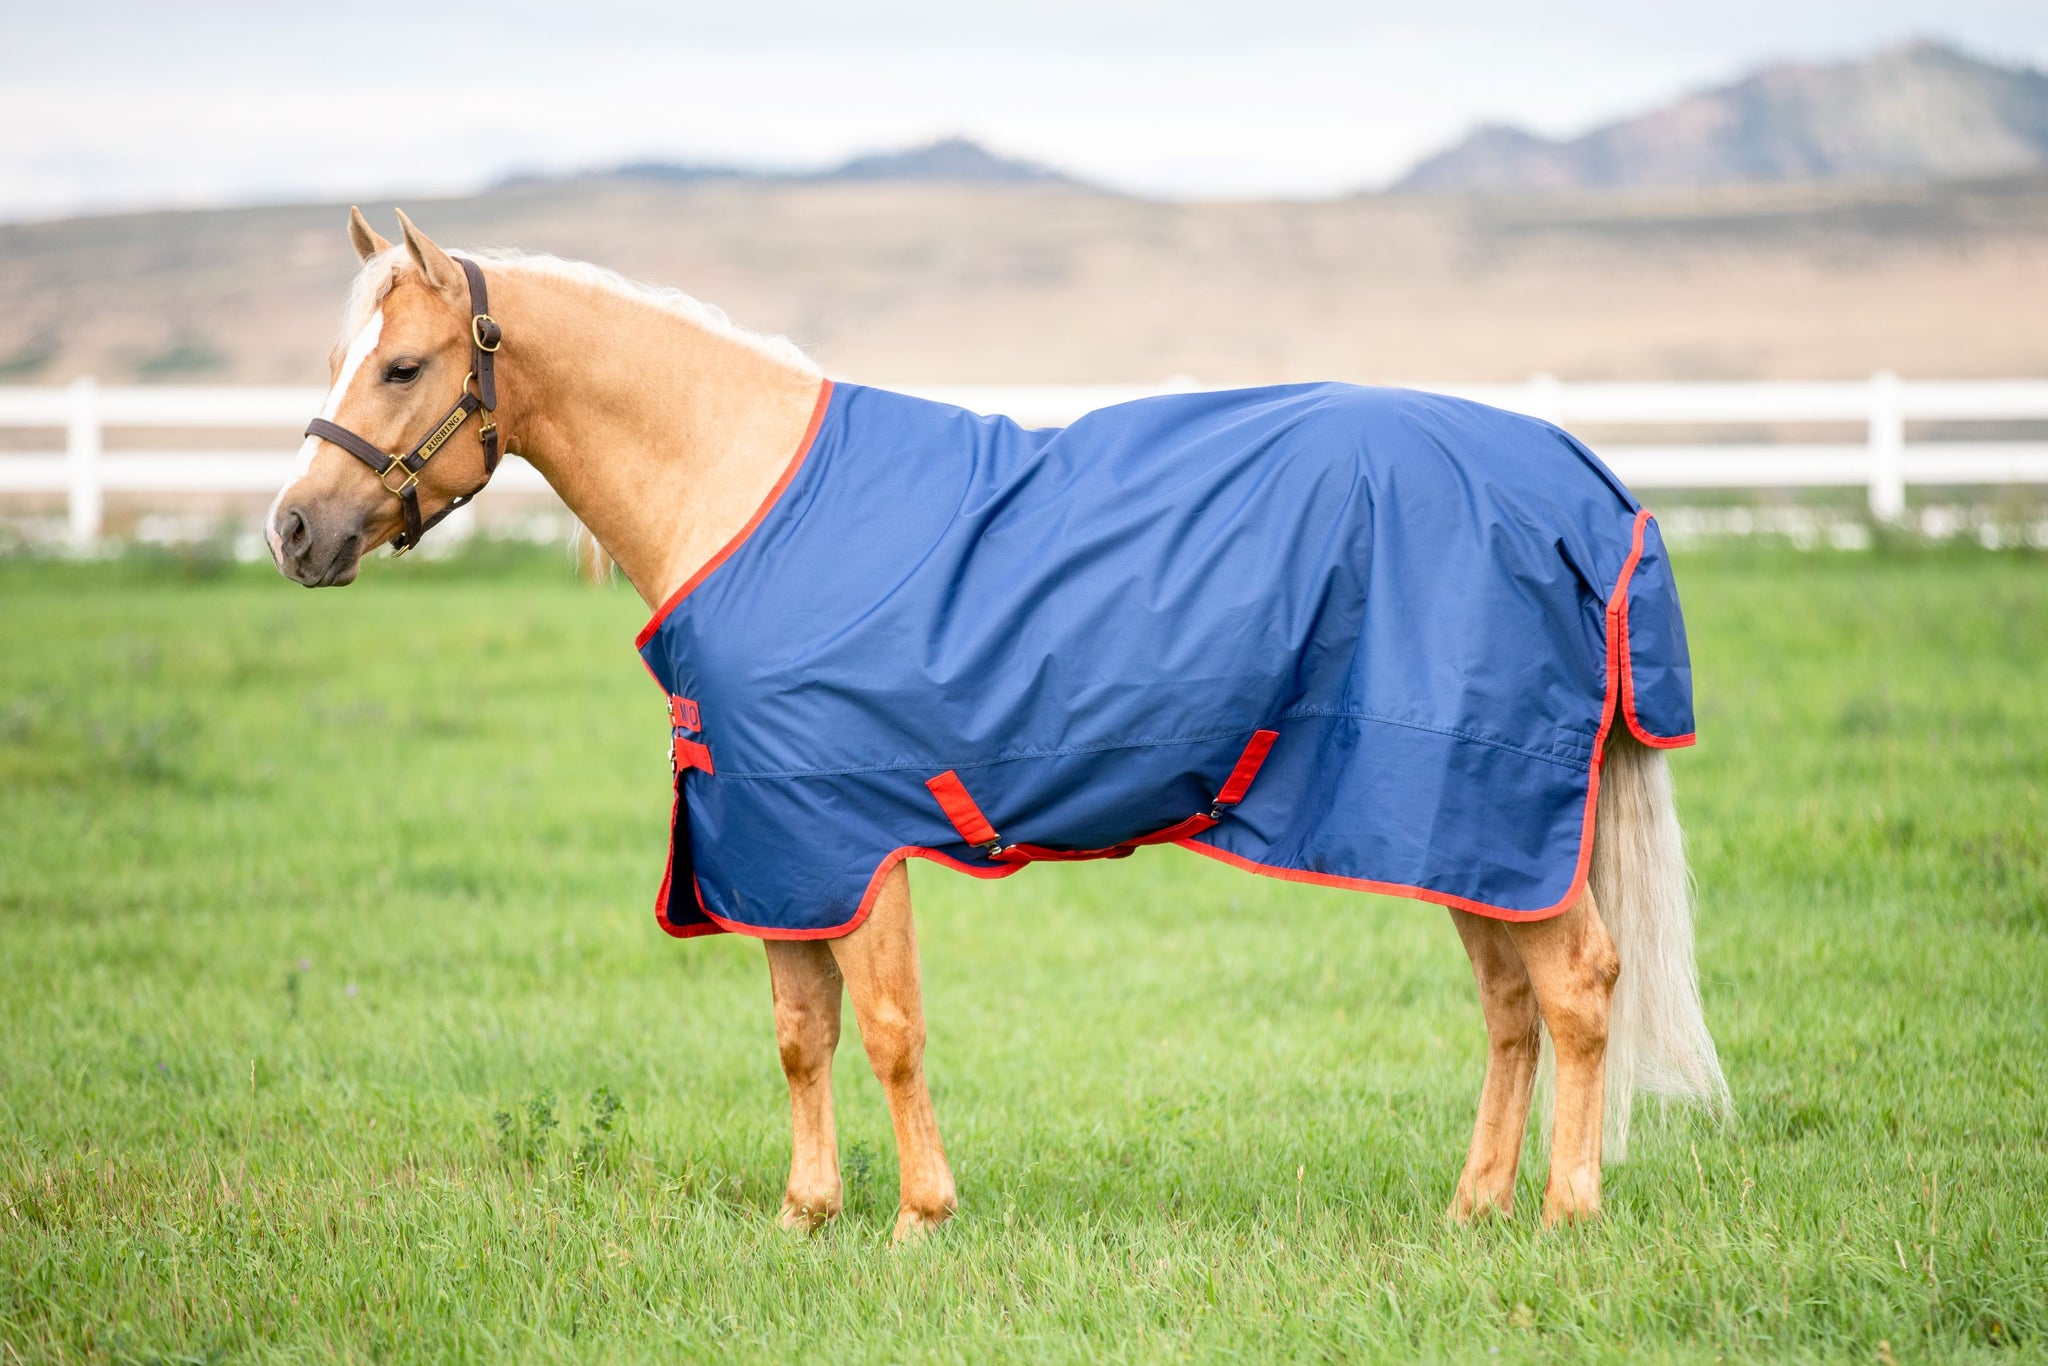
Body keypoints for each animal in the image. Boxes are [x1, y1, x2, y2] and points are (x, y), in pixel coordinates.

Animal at [268, 208, 1728, 1241]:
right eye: (338, 359)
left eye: (403, 365)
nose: (293, 531)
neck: (749, 500)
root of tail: (1585, 484)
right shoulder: (769, 839)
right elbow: (800, 1030)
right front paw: (806, 1213)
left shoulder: (849, 834)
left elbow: (890, 1022)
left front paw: (919, 1216)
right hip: (1456, 827)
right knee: (1511, 1005)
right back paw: (1475, 1206)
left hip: (1484, 803)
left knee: (1577, 988)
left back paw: (1565, 1210)